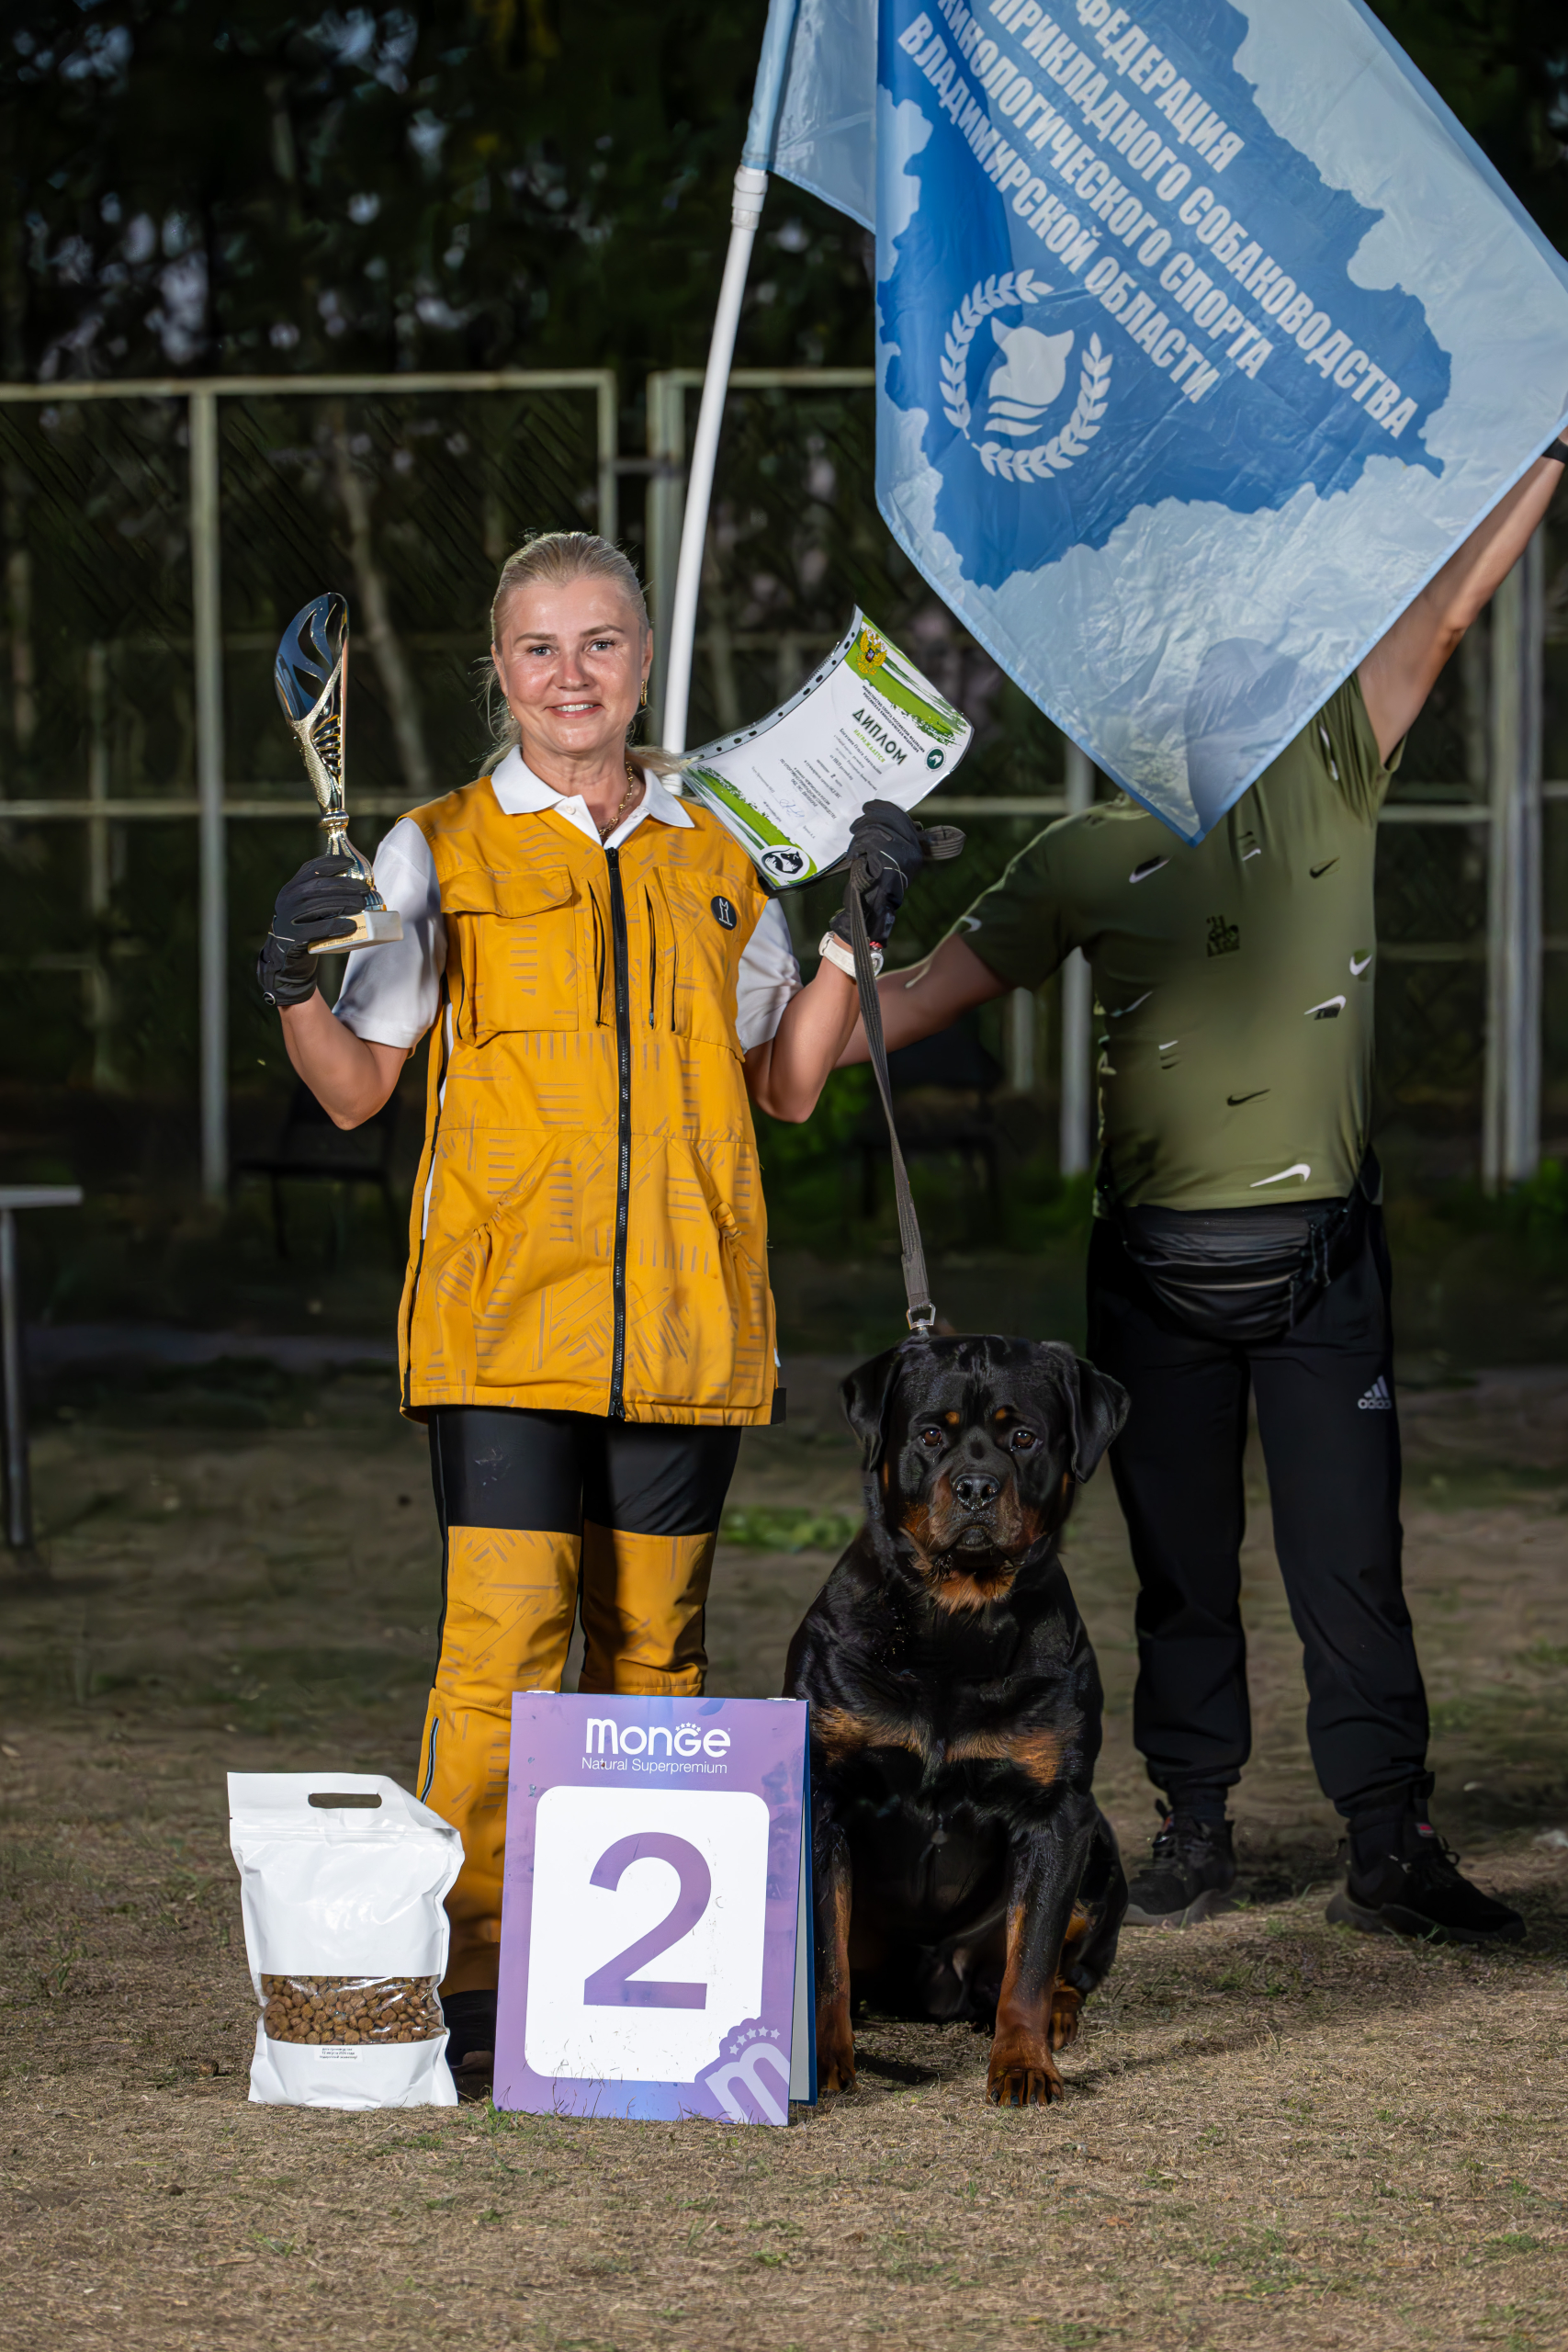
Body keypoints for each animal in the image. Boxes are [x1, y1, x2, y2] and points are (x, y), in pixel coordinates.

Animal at [784, 1336, 1128, 2107]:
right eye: (930, 1435)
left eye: (1023, 1438)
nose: (975, 1487)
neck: (954, 1621)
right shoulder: (824, 1796)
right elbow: (824, 1953)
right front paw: (822, 2057)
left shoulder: (1057, 1811)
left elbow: (1030, 1960)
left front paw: (1023, 2062)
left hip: (1099, 1848)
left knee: (1062, 1966)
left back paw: (1056, 2014)